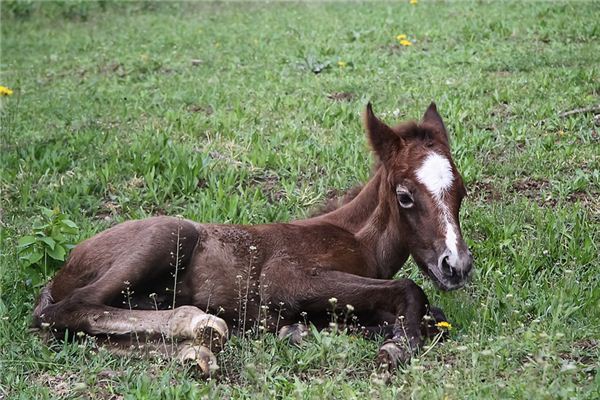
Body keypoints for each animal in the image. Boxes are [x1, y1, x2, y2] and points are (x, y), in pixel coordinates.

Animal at [32, 103, 474, 376]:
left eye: (461, 191)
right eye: (405, 196)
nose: (456, 265)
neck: (356, 239)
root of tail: (62, 270)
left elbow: (432, 316)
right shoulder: (284, 279)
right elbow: (410, 289)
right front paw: (398, 345)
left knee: (81, 333)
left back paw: (196, 351)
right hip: (171, 232)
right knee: (68, 311)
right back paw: (198, 323)